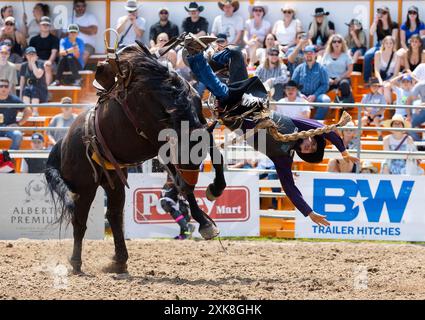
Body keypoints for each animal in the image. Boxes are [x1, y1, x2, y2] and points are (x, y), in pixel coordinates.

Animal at [44, 43, 227, 276]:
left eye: (199, 155)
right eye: (181, 155)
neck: (155, 92)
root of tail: (63, 143)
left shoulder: (201, 130)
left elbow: (217, 158)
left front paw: (216, 188)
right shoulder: (160, 145)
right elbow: (183, 185)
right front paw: (205, 223)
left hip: (113, 181)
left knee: (114, 216)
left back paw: (120, 261)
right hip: (85, 187)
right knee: (80, 221)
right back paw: (77, 263)